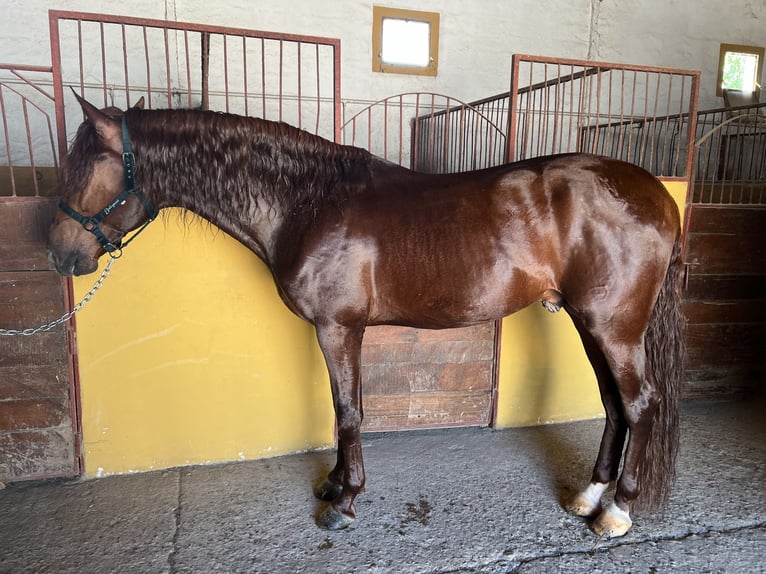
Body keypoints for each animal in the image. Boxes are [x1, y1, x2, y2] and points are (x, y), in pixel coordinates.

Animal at [49, 95, 684, 540]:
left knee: (639, 404)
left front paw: (346, 500)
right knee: (613, 403)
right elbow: (341, 408)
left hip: (614, 326)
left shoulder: (339, 327)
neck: (306, 201)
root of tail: (657, 193)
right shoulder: (337, 330)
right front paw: (334, 484)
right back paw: (590, 496)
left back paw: (616, 512)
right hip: (589, 322)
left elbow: (349, 410)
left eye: (87, 168)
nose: (59, 253)